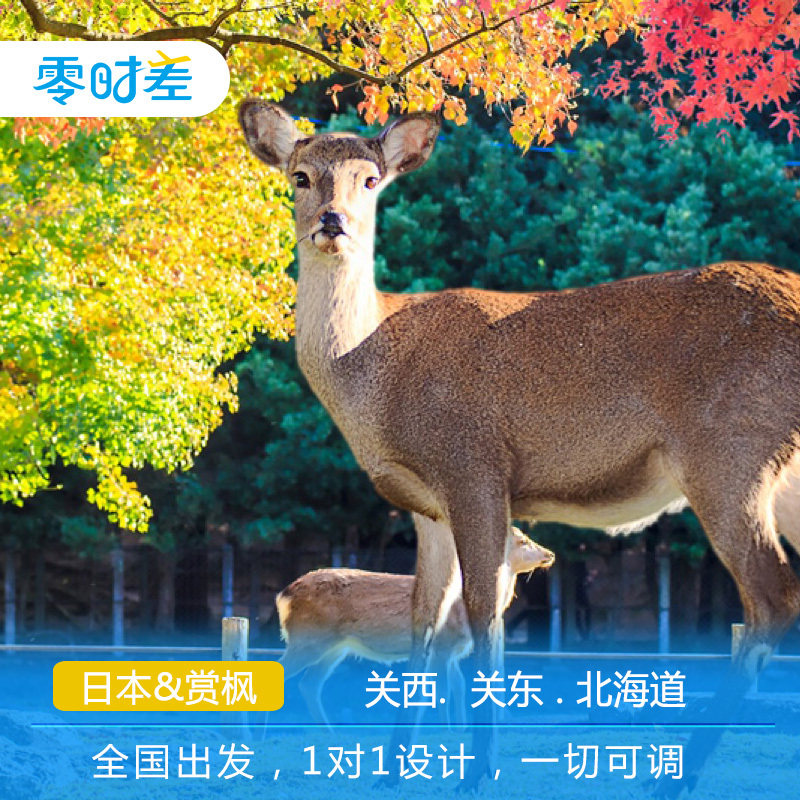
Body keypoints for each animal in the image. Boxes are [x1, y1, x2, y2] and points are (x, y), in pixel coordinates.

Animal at [276, 517, 554, 728]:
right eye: (522, 540)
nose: (549, 553)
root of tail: (284, 596)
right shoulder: (443, 644)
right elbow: (443, 690)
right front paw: (448, 730)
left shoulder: (452, 651)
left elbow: (459, 687)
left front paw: (461, 728)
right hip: (308, 638)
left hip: (335, 646)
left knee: (309, 684)